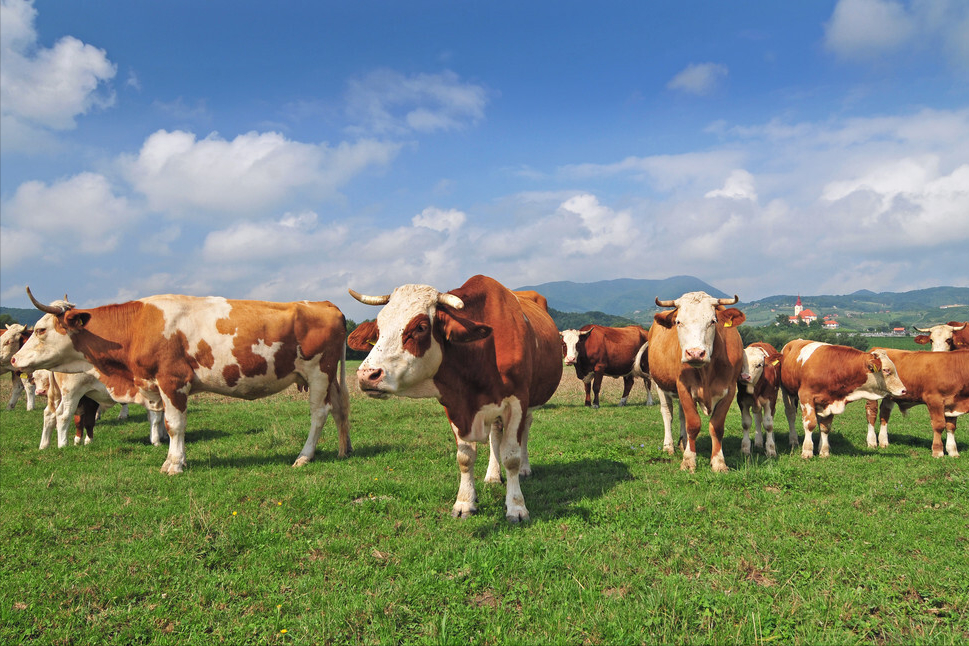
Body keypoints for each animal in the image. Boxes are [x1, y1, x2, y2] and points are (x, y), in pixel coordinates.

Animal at [9, 290, 350, 476]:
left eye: (40, 330)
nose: (13, 360)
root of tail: (325, 304)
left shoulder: (173, 381)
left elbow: (174, 425)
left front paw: (174, 463)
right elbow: (166, 423)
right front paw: (173, 459)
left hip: (319, 373)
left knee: (319, 414)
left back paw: (304, 456)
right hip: (330, 378)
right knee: (339, 409)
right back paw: (343, 450)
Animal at [346, 276, 560, 524]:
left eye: (420, 327)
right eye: (379, 327)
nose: (367, 375)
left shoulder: (517, 402)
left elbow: (512, 457)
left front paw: (516, 506)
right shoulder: (456, 406)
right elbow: (465, 457)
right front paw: (465, 502)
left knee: (525, 430)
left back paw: (525, 468)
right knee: (495, 434)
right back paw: (493, 474)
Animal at [648, 296, 744, 474]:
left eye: (713, 321)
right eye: (678, 322)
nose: (695, 353)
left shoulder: (729, 390)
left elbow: (716, 427)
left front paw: (718, 462)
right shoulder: (683, 387)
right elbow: (693, 424)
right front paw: (688, 460)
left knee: (681, 416)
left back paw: (683, 443)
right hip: (660, 384)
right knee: (667, 413)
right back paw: (669, 446)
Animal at [780, 340, 908, 460]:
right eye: (886, 370)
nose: (904, 390)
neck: (832, 368)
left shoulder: (830, 402)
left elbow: (825, 427)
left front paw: (824, 451)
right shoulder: (806, 397)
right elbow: (810, 424)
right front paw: (807, 451)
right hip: (787, 392)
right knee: (791, 415)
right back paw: (793, 440)